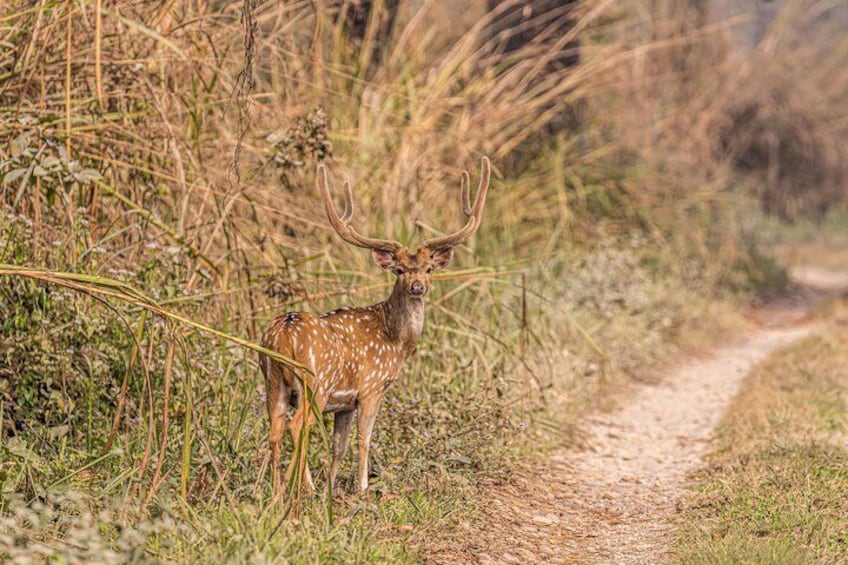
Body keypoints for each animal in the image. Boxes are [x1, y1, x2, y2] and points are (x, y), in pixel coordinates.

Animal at [259, 156, 491, 498]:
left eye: (429, 268)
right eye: (399, 269)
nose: (418, 287)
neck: (396, 340)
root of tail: (284, 335)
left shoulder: (344, 404)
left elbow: (339, 446)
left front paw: (332, 489)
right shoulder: (372, 387)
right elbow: (364, 439)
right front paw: (362, 487)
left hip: (272, 380)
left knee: (275, 427)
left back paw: (276, 492)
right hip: (315, 383)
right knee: (296, 425)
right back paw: (299, 488)